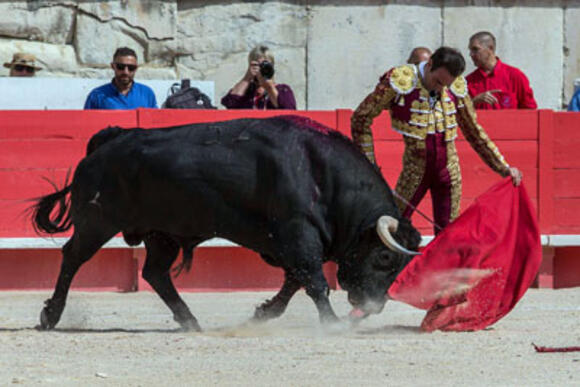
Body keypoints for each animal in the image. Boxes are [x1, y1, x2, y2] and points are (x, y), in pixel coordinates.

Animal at [31, 115, 420, 330]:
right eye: (385, 257)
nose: (374, 306)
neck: (321, 175)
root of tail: (110, 138)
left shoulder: (289, 243)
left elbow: (295, 282)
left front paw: (261, 314)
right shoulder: (297, 233)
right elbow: (314, 282)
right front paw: (332, 324)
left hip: (162, 234)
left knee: (155, 273)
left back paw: (190, 321)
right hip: (97, 222)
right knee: (72, 258)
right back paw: (51, 316)